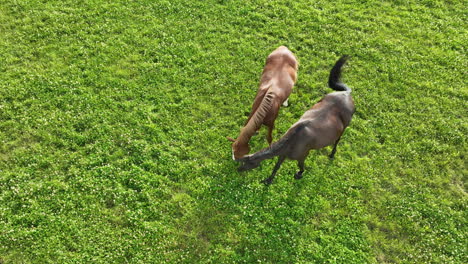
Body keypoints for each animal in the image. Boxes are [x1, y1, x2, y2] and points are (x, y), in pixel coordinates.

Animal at [238, 54, 354, 185]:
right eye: (243, 162)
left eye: (250, 163)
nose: (238, 169)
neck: (293, 141)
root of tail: (347, 93)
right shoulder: (283, 154)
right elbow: (276, 166)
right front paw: (268, 180)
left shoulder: (302, 155)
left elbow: (301, 166)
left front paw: (299, 174)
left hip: (345, 126)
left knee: (337, 140)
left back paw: (332, 154)